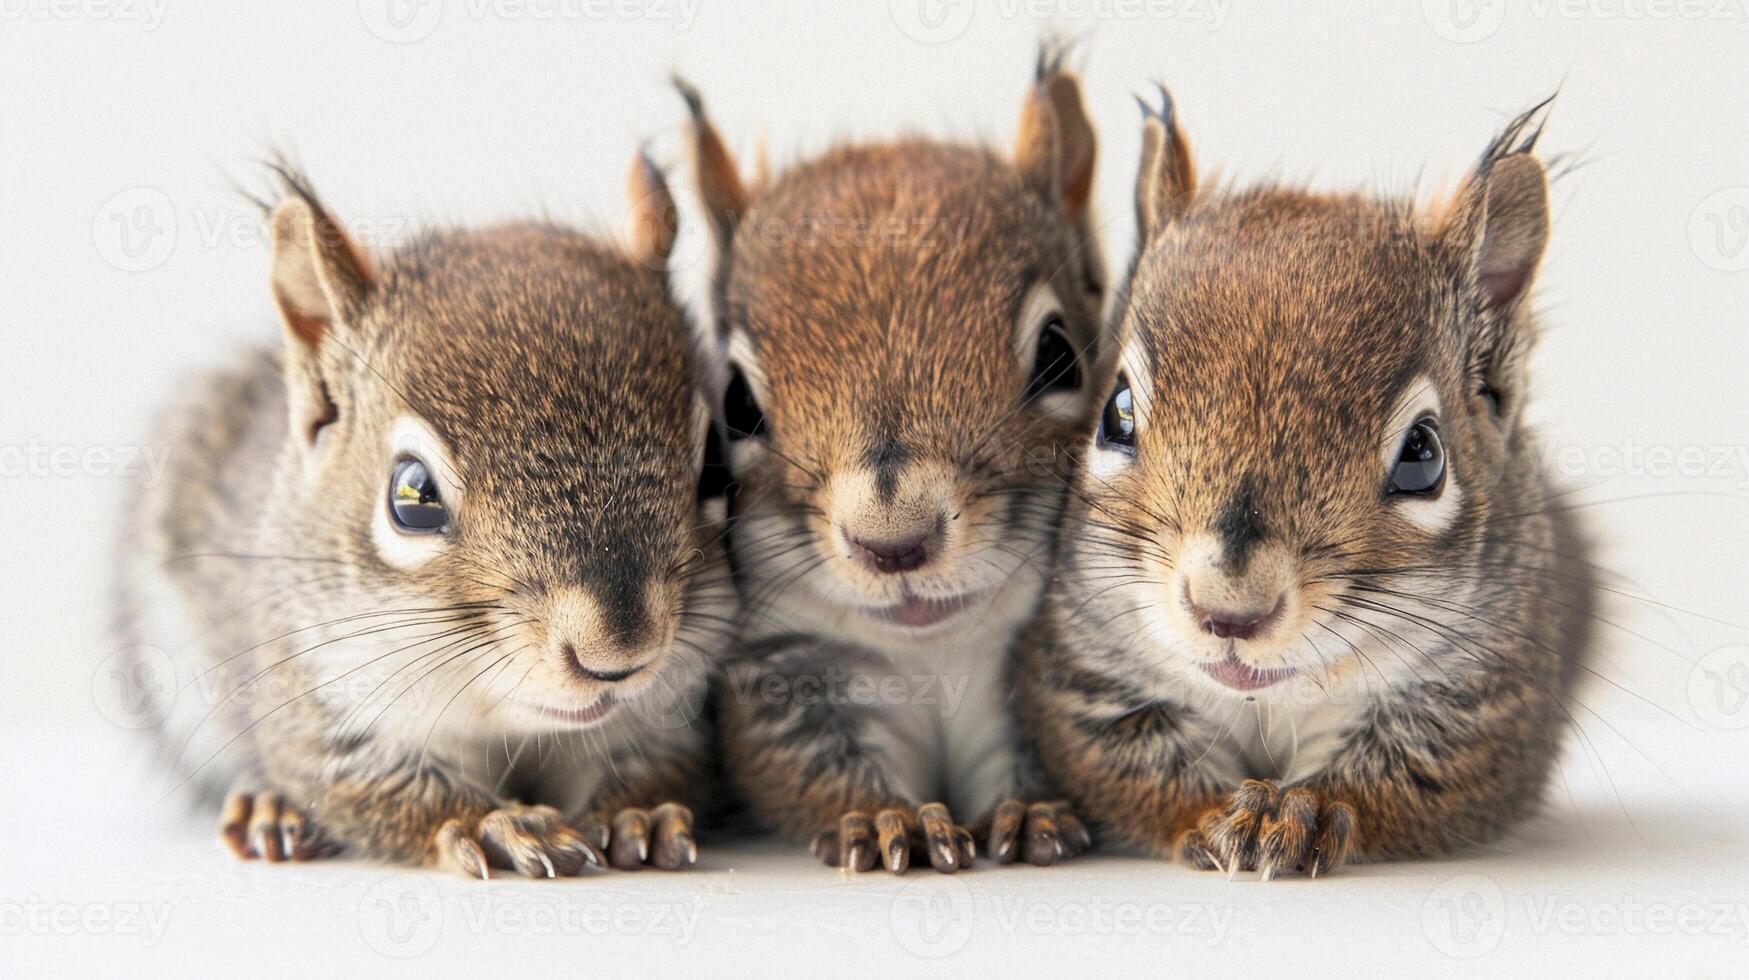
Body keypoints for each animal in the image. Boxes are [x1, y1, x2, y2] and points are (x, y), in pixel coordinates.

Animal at [114, 154, 731, 882]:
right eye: (410, 496)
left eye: (716, 464)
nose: (618, 658)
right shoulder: (316, 703)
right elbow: (378, 788)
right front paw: (494, 824)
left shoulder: (675, 700)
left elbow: (660, 761)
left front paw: (636, 810)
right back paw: (271, 808)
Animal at [678, 45, 1105, 871]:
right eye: (737, 405)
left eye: (1059, 356)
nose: (893, 542)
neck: (930, 654)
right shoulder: (787, 675)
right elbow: (808, 767)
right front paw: (881, 822)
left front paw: (1028, 814)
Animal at [1014, 90, 1602, 871]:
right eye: (1116, 414)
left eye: (1423, 455)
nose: (1229, 610)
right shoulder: (1083, 673)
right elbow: (1126, 764)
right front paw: (1209, 816)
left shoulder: (1488, 698)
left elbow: (1410, 774)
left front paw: (1311, 811)